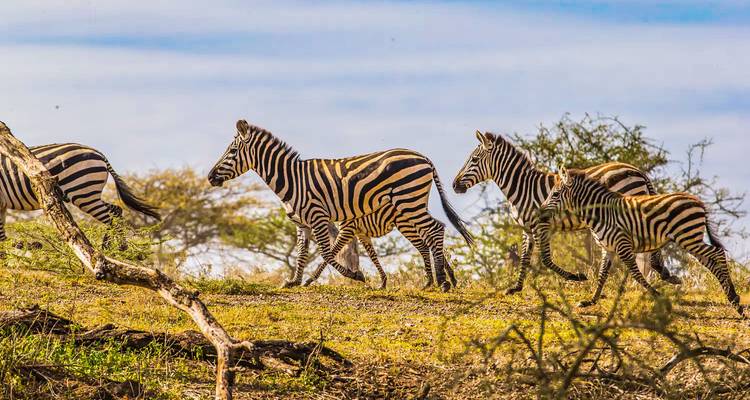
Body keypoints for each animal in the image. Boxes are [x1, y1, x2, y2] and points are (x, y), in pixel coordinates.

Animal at [0, 143, 161, 248]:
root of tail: (100, 155)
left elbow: (1, 236)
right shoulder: (2, 205)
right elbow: (2, 235)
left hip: (83, 193)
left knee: (109, 218)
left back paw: (116, 248)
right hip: (89, 194)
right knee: (115, 210)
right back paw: (114, 248)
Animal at [302, 202, 458, 290]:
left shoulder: (349, 229)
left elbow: (330, 253)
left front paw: (309, 280)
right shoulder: (362, 233)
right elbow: (373, 256)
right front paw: (383, 282)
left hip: (405, 223)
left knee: (426, 244)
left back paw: (433, 281)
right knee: (431, 241)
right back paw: (450, 278)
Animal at [452, 131, 679, 294]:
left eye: (474, 160)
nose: (454, 185)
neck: (523, 187)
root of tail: (637, 171)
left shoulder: (541, 224)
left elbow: (545, 259)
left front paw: (576, 277)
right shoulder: (527, 227)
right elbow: (525, 257)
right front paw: (516, 287)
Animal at [540, 167, 744, 317]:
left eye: (555, 194)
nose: (540, 211)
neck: (601, 213)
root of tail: (698, 201)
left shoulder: (622, 245)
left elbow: (637, 274)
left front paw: (659, 297)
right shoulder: (609, 248)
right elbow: (602, 275)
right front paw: (590, 301)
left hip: (688, 237)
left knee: (717, 253)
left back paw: (735, 300)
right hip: (690, 238)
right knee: (711, 262)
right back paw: (733, 299)